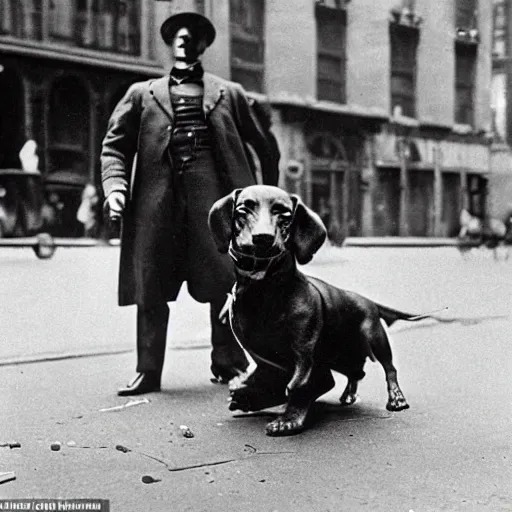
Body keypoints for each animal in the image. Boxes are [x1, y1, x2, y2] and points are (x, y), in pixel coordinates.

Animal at [208, 184, 428, 436]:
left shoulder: (305, 355)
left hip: (375, 338)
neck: (264, 291)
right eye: (243, 210)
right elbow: (267, 379)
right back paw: (349, 394)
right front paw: (249, 397)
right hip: (342, 356)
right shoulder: (261, 355)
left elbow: (301, 384)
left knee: (389, 368)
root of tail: (368, 300)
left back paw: (396, 398)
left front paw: (289, 419)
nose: (263, 238)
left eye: (285, 215)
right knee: (356, 372)